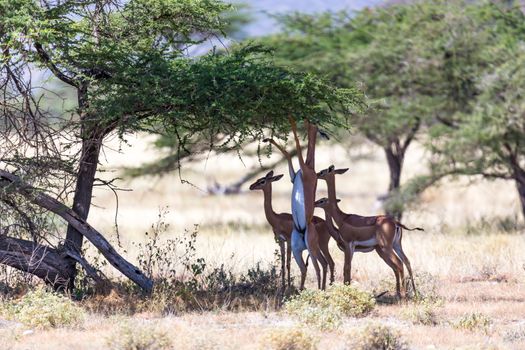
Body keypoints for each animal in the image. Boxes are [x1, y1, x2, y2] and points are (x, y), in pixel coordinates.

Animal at [316, 165, 422, 300]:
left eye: (323, 171)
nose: (316, 174)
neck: (342, 218)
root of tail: (395, 222)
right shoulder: (351, 248)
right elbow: (347, 268)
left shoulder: (348, 245)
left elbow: (346, 268)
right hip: (396, 245)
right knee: (406, 261)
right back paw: (412, 294)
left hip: (386, 247)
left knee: (399, 263)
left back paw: (403, 295)